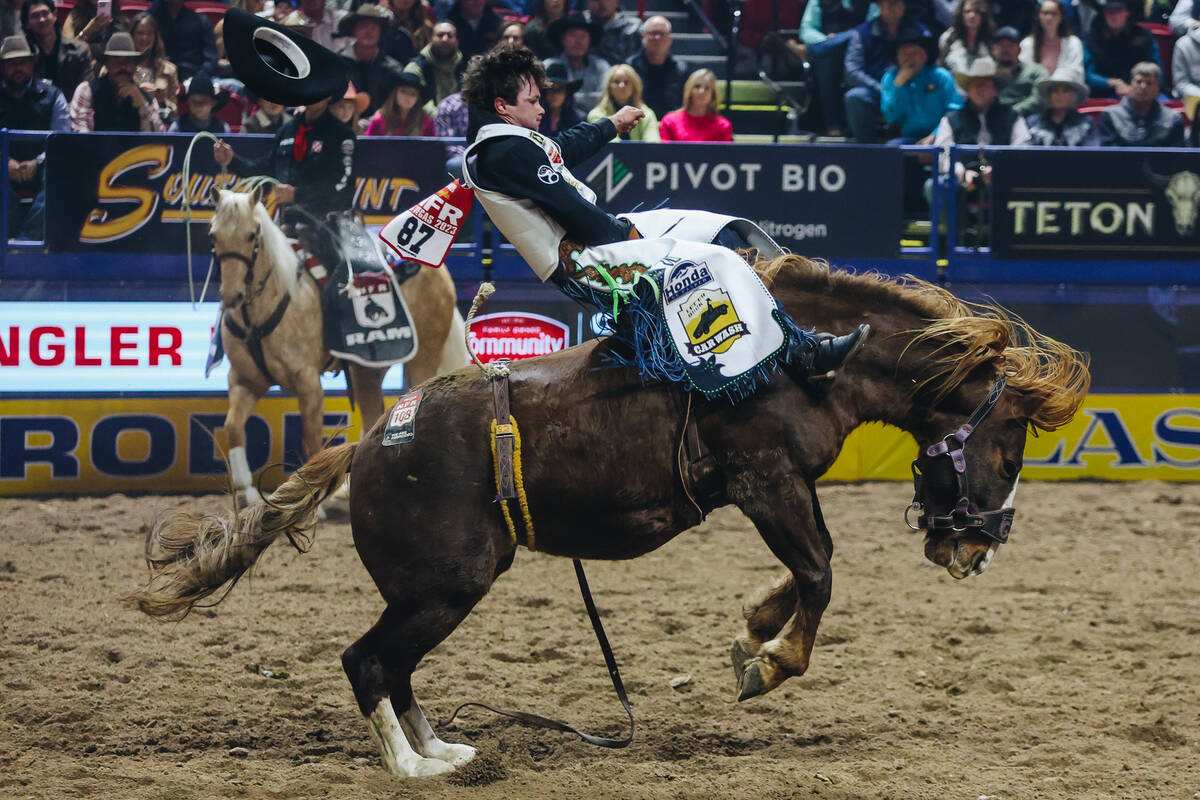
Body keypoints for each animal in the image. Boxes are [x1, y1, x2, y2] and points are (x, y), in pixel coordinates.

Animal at [131, 255, 1089, 777]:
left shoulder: (775, 488)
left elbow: (806, 571)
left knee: (393, 667)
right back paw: (410, 767)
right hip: (446, 585)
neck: (797, 356)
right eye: (1010, 453)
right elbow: (818, 571)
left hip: (434, 591)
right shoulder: (767, 479)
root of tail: (366, 445)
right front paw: (767, 663)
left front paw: (752, 630)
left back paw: (443, 751)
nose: (977, 551)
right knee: (367, 661)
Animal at [206, 184, 468, 503]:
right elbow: (233, 427)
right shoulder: (245, 380)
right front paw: (248, 492)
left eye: (253, 234)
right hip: (367, 369)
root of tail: (439, 270)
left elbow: (310, 441)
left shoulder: (308, 384)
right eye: (213, 235)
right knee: (372, 414)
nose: (232, 296)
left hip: (423, 357)